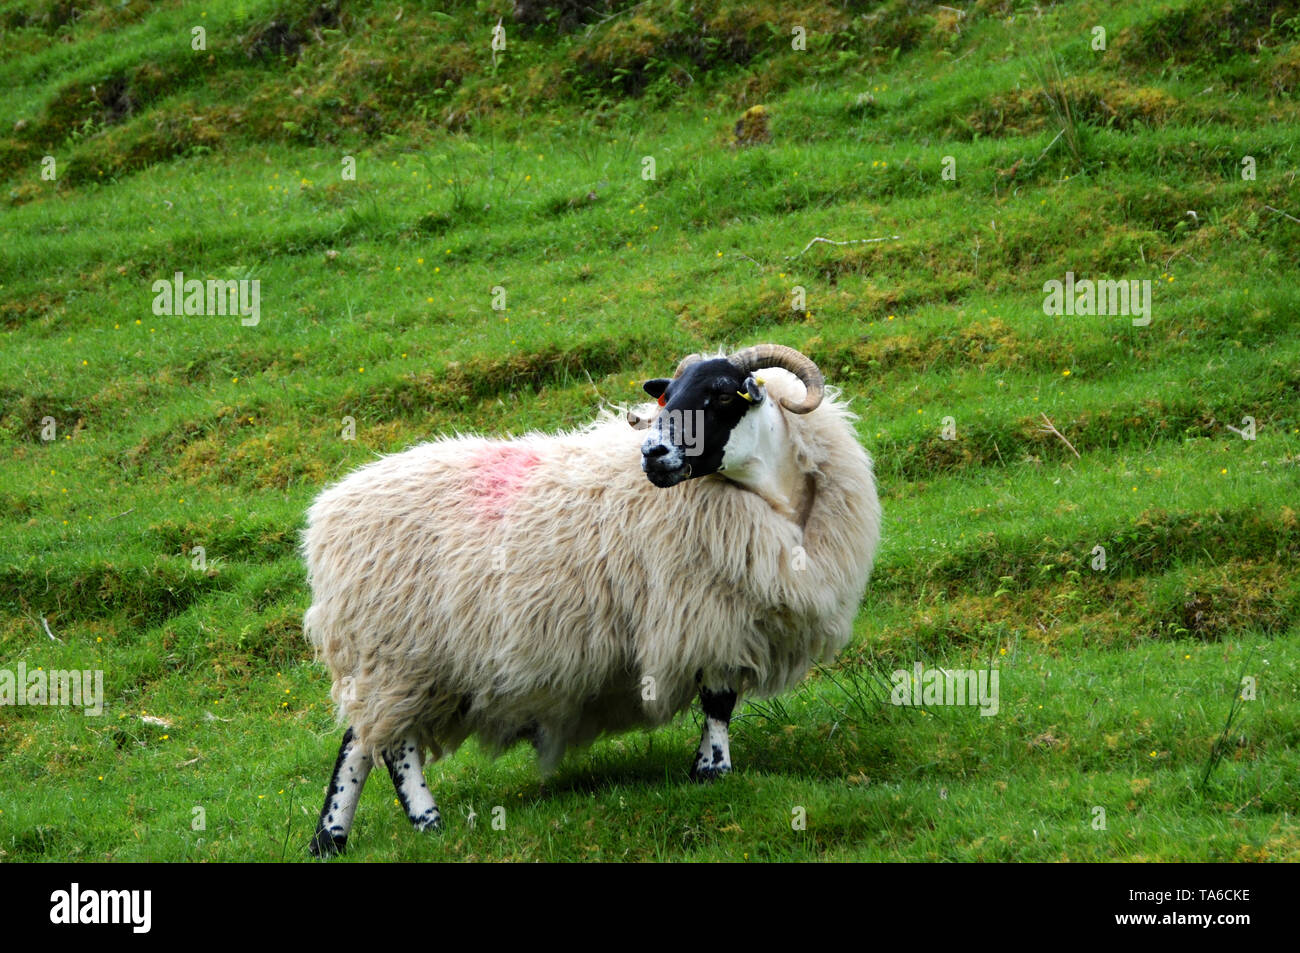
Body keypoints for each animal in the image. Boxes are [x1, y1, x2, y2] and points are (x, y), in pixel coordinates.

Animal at [299, 343, 878, 852]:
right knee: (387, 746)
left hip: (397, 661)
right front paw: (712, 773)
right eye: (667, 399)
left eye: (719, 394)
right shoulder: (706, 612)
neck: (774, 497)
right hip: (394, 652)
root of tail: (328, 514)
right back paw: (426, 823)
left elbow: (722, 701)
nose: (652, 455)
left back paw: (331, 839)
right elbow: (718, 701)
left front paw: (708, 770)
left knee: (361, 741)